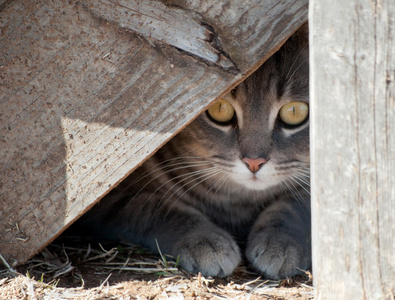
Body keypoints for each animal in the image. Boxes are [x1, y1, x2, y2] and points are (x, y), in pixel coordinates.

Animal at [71, 25, 312, 278]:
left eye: (294, 111)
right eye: (219, 108)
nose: (254, 161)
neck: (238, 202)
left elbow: (296, 208)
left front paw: (281, 242)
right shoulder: (110, 199)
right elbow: (157, 208)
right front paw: (204, 242)